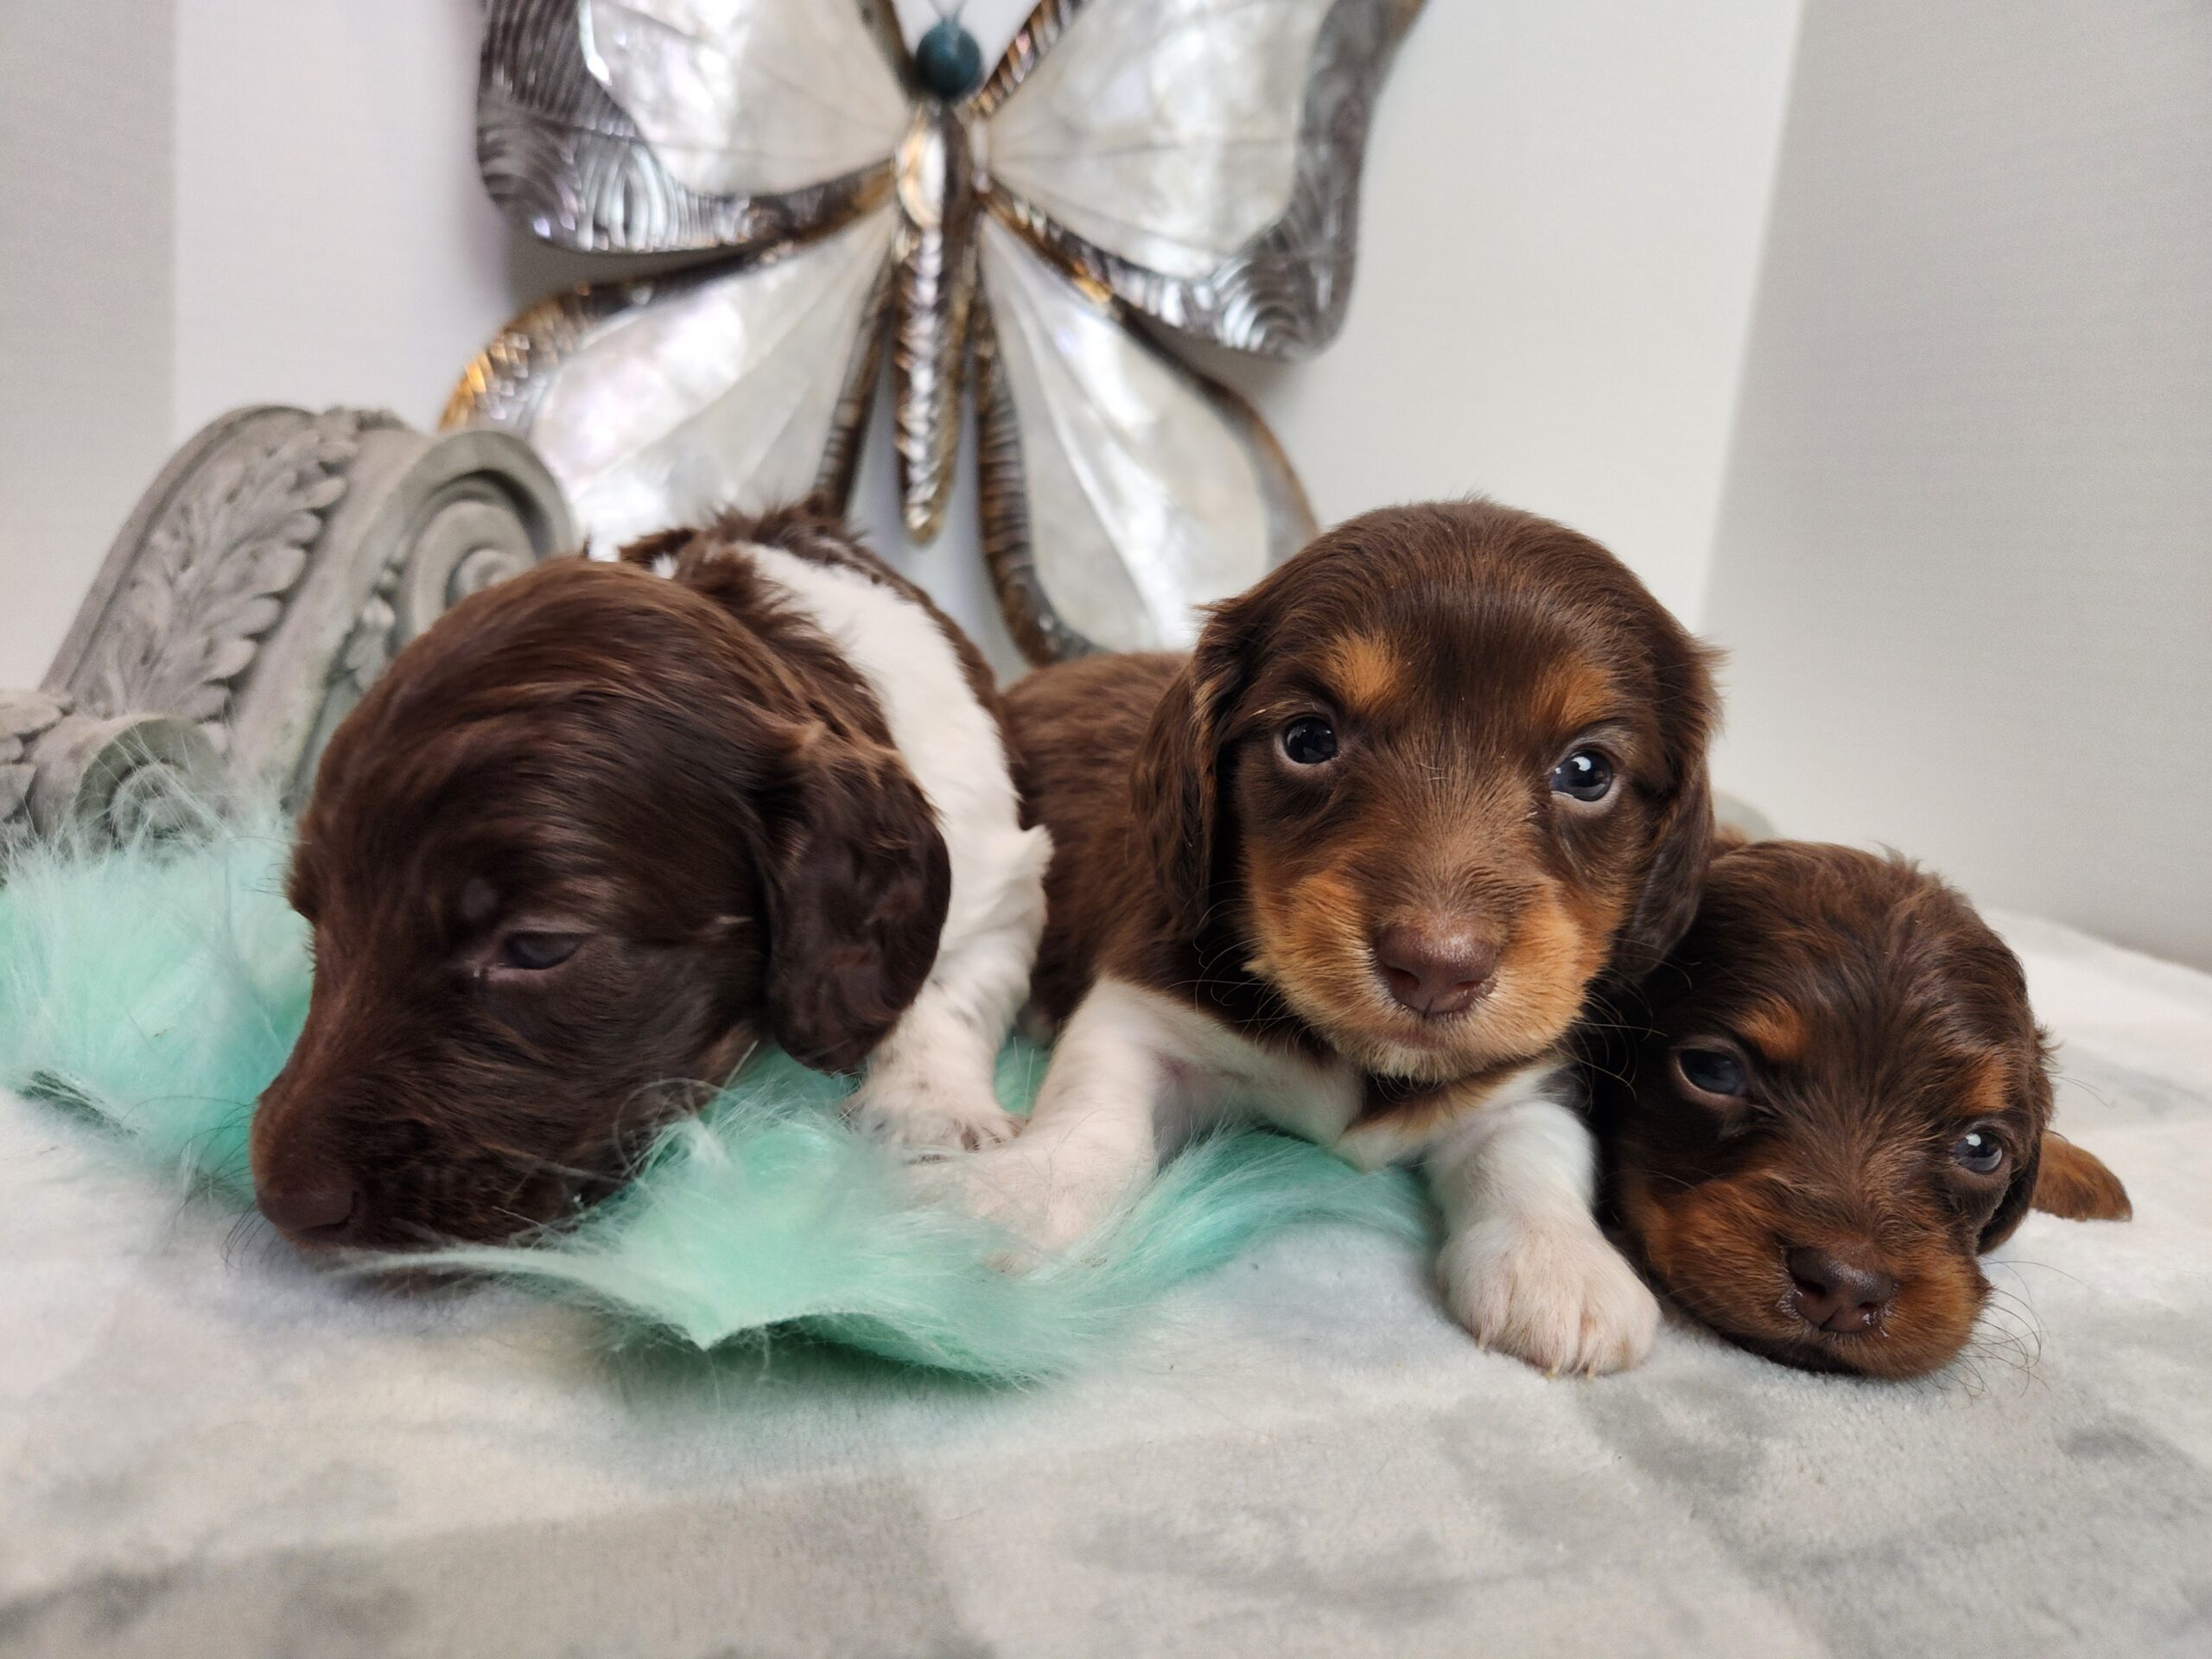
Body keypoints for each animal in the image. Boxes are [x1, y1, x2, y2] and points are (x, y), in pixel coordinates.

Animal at [254, 512, 1048, 1256]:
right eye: (315, 925)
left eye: (539, 948)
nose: (286, 1205)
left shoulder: (998, 874)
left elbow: (945, 982)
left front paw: (927, 1110)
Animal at [946, 504, 1707, 1380]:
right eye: (1309, 739)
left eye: (1587, 771)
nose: (1435, 971)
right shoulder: (1142, 1010)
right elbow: (1098, 1120)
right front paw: (1018, 1196)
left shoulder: (1526, 1076)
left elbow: (1533, 1151)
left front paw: (1558, 1260)